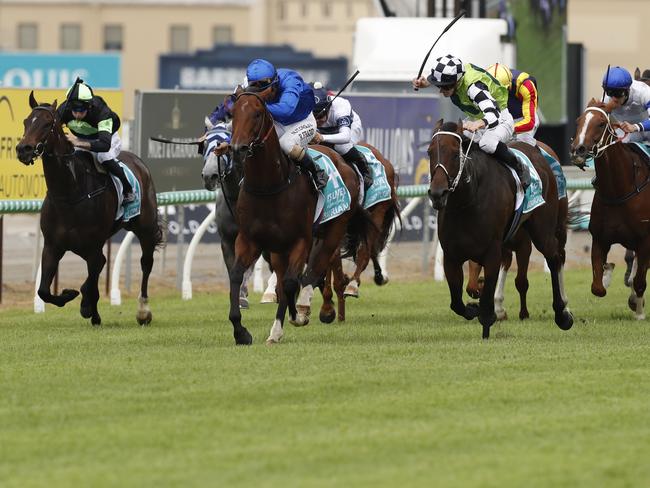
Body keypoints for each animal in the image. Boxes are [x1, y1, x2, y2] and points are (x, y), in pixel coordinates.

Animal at [16, 91, 163, 328]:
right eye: (26, 121)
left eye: (48, 124)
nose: (24, 150)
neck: (69, 195)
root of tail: (138, 161)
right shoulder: (52, 246)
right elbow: (44, 291)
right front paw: (70, 296)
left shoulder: (94, 249)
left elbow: (89, 283)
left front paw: (85, 305)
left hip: (145, 228)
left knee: (146, 263)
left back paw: (143, 311)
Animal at [223, 89, 368, 346]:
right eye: (233, 114)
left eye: (257, 114)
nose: (238, 148)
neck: (269, 186)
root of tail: (343, 162)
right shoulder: (250, 240)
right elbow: (238, 275)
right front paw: (241, 332)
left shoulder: (301, 239)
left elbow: (293, 282)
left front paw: (290, 320)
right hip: (279, 248)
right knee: (288, 278)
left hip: (334, 228)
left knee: (316, 268)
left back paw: (304, 308)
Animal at [464, 141, 564, 322]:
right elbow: (476, 280)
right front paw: (483, 292)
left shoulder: (524, 246)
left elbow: (521, 281)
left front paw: (523, 314)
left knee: (559, 256)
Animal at [568, 99, 648, 320]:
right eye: (578, 121)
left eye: (601, 123)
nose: (578, 149)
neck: (618, 190)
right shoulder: (599, 239)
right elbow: (597, 287)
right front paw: (607, 272)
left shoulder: (645, 241)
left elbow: (640, 281)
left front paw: (639, 312)